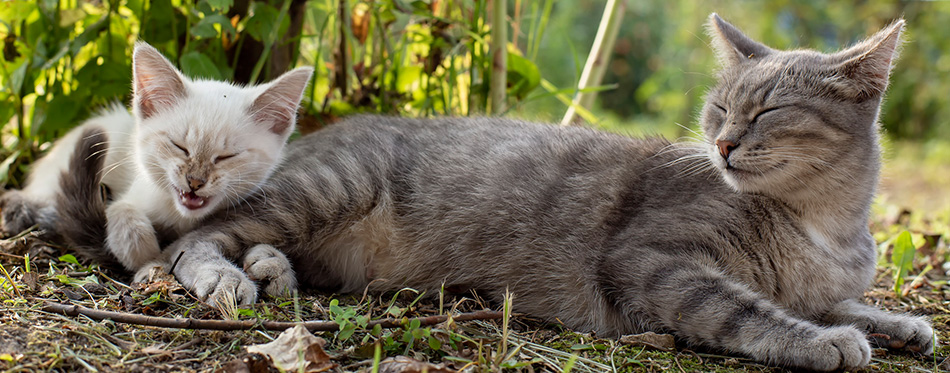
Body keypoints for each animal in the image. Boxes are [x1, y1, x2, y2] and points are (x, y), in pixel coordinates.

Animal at [61, 13, 936, 370]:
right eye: (719, 108)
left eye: (769, 109)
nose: (721, 143)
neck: (826, 223)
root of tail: (316, 136)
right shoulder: (654, 260)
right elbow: (749, 309)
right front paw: (823, 340)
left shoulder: (822, 273)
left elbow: (842, 298)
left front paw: (898, 320)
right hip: (323, 187)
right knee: (191, 239)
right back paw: (228, 276)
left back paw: (274, 269)